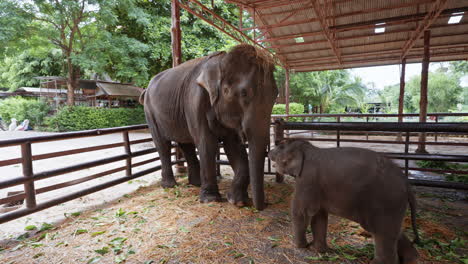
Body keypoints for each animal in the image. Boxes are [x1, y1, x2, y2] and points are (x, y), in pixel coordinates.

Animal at [140, 44, 278, 210]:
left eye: (276, 95)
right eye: (244, 93)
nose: (263, 205)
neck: (221, 61)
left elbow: (234, 148)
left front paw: (237, 201)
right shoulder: (195, 101)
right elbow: (207, 145)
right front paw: (211, 200)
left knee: (186, 144)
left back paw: (195, 183)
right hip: (150, 113)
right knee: (163, 145)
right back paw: (170, 186)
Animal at [268, 139, 418, 262]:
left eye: (280, 146)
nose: (268, 152)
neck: (308, 148)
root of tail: (406, 183)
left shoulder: (307, 180)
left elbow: (302, 212)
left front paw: (301, 246)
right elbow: (320, 216)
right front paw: (318, 250)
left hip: (386, 200)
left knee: (382, 233)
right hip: (393, 204)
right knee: (393, 231)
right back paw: (412, 259)